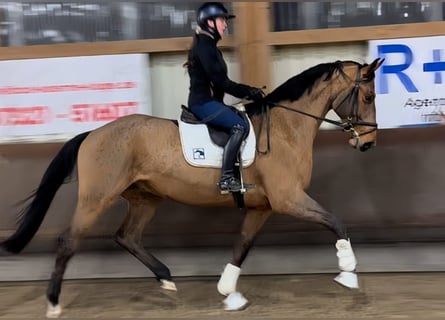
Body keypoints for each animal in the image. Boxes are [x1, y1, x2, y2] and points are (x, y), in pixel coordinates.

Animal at [0, 58, 384, 318]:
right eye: (368, 96)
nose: (368, 143)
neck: (286, 128)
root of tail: (92, 134)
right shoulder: (287, 199)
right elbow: (335, 221)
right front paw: (348, 272)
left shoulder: (263, 206)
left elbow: (241, 245)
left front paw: (229, 292)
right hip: (97, 198)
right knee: (69, 241)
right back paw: (53, 304)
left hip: (146, 198)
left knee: (127, 237)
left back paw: (167, 279)